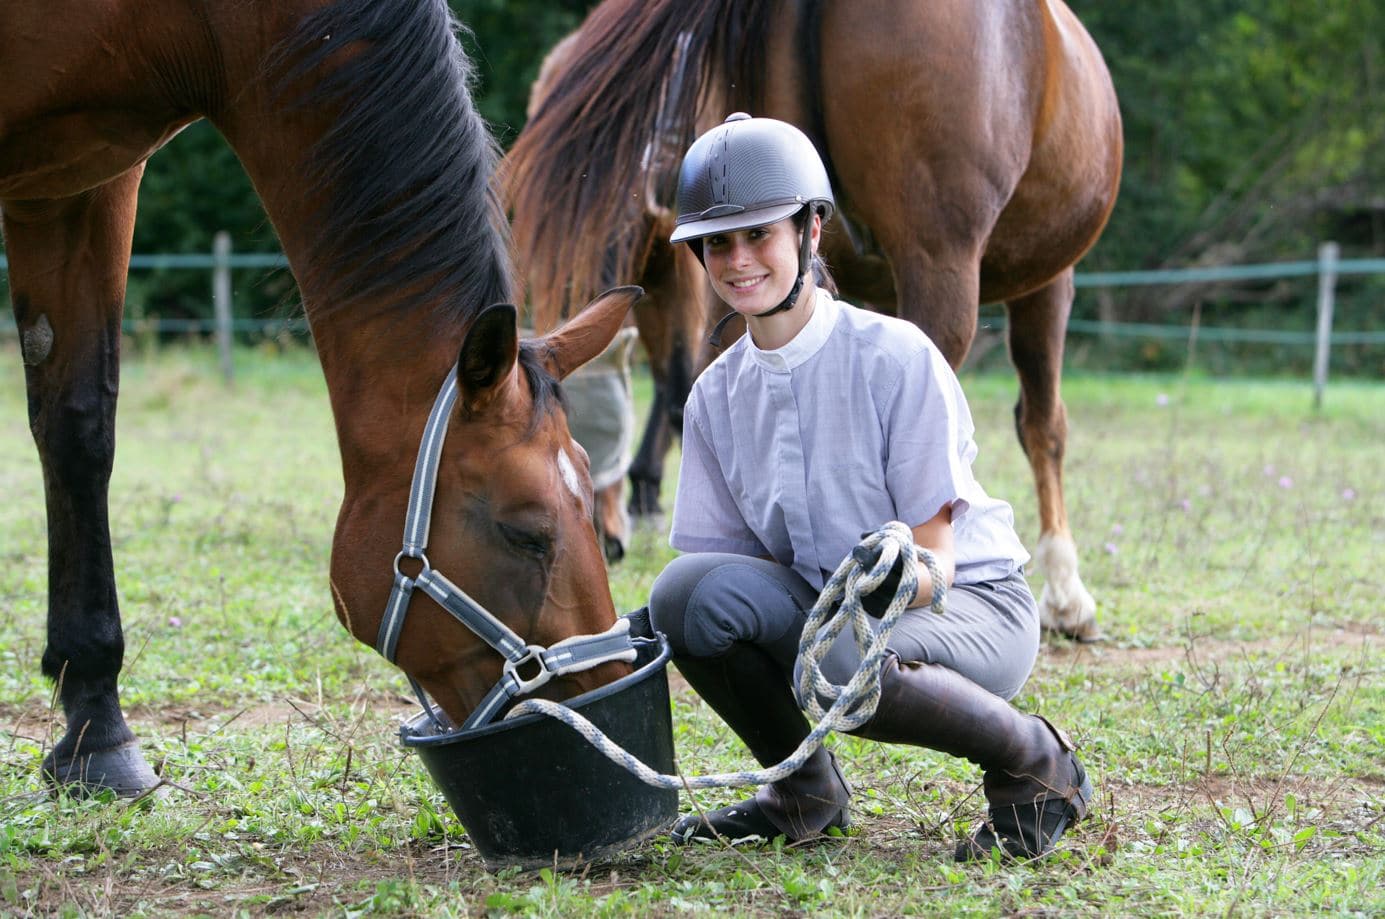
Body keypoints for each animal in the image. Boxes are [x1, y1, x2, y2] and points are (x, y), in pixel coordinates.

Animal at [0, 0, 634, 797]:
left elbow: (79, 431)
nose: (606, 699)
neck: (204, 23)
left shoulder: (81, 186)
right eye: (525, 533)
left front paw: (96, 733)